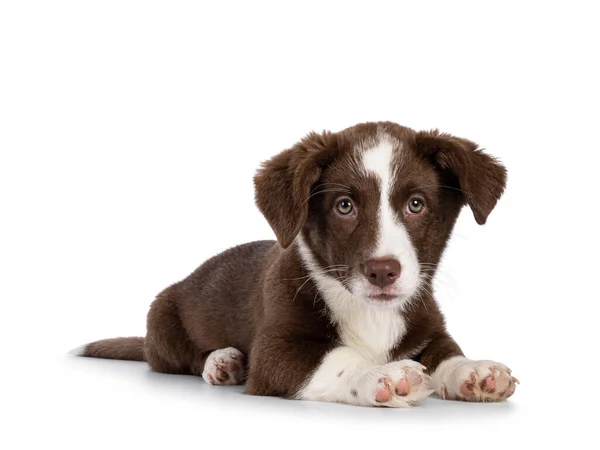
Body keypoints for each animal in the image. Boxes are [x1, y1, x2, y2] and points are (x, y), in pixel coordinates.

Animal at [75, 121, 516, 406]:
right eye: (344, 206)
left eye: (416, 204)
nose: (382, 271)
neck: (370, 312)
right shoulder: (276, 351)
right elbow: (336, 359)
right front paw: (382, 374)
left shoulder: (429, 325)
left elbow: (446, 353)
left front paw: (475, 372)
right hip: (163, 317)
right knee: (180, 358)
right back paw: (222, 362)